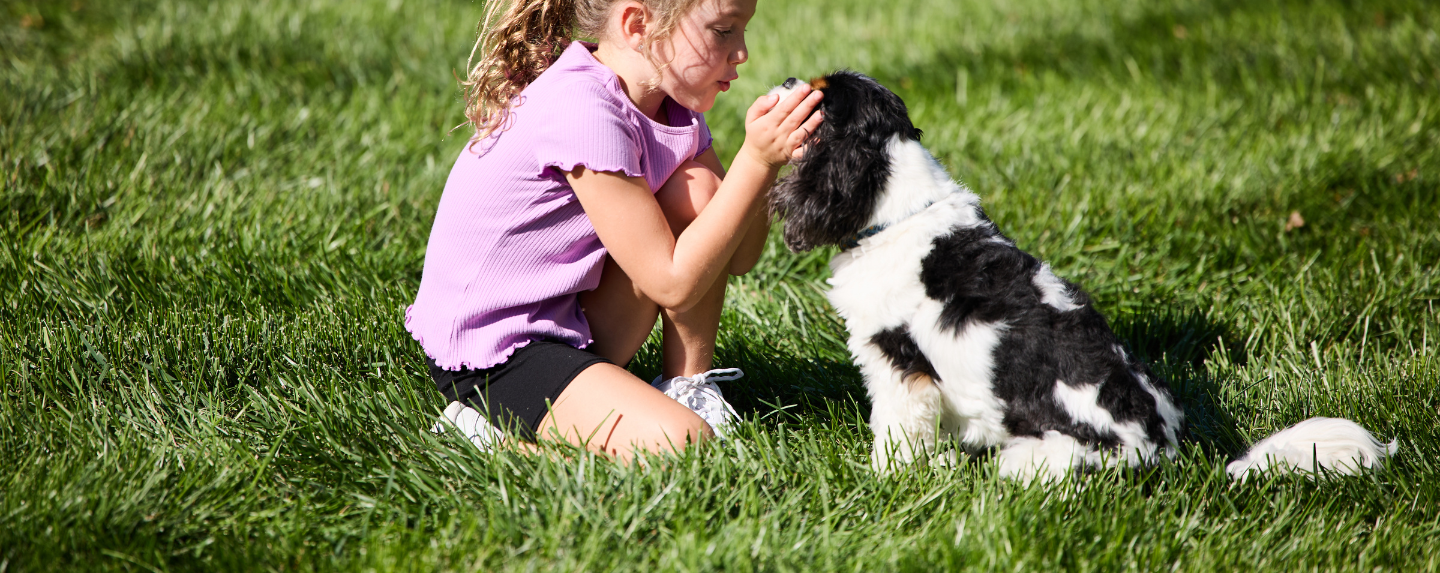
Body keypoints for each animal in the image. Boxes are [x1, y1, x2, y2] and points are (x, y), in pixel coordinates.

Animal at [777, 72, 1393, 483]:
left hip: (1039, 457)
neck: (900, 209)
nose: (786, 79)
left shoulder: (898, 366)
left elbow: (896, 434)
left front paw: (885, 476)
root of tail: (1177, 455)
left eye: (819, 97)